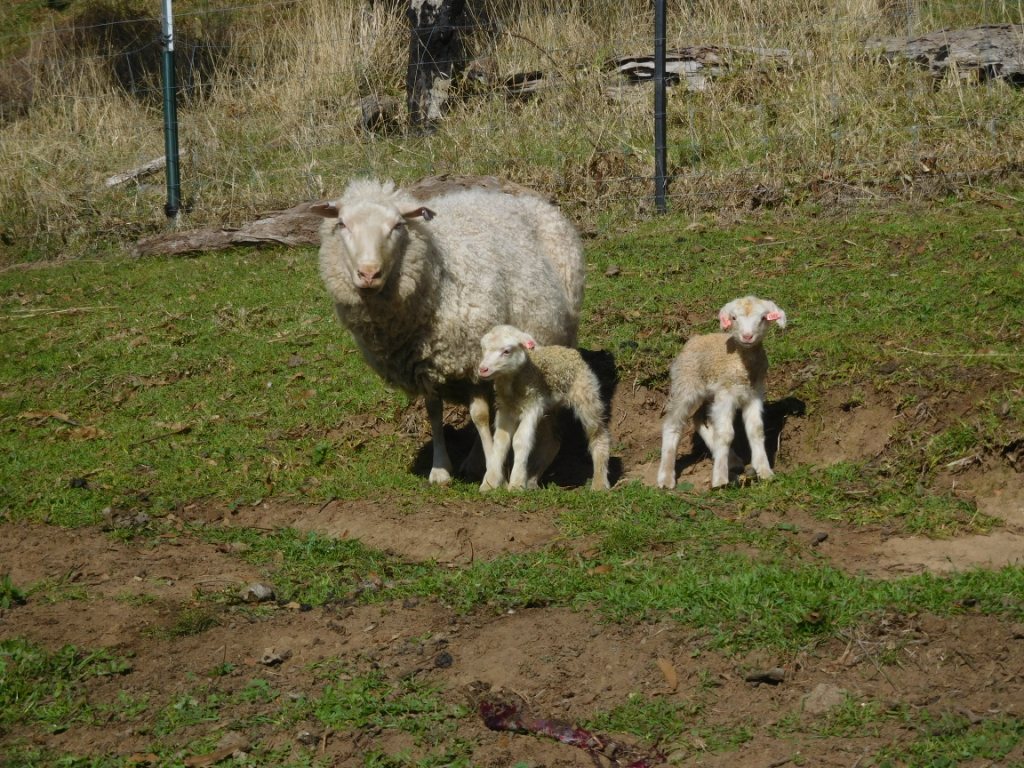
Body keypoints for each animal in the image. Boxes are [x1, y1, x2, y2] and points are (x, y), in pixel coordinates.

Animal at [312, 178, 585, 485]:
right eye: (343, 224)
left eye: (397, 226)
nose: (369, 273)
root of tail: (536, 202)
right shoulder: (426, 367)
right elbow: (434, 412)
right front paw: (441, 469)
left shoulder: (472, 360)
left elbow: (479, 415)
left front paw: (492, 473)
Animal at [477, 325, 611, 492]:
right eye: (483, 348)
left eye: (507, 351)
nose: (483, 369)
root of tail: (568, 350)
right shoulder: (505, 409)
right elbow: (501, 442)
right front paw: (489, 483)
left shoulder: (532, 405)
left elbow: (520, 440)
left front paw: (516, 483)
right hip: (549, 409)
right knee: (552, 442)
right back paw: (532, 480)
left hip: (586, 394)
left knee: (598, 434)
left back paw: (599, 482)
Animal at [656, 296, 787, 490]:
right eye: (733, 318)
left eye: (763, 317)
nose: (747, 336)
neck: (743, 365)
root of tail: (695, 339)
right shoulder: (726, 395)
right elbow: (726, 434)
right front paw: (719, 479)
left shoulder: (754, 394)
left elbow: (756, 430)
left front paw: (764, 470)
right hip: (686, 385)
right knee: (673, 423)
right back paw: (665, 477)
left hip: (709, 395)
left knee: (700, 419)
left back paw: (731, 460)